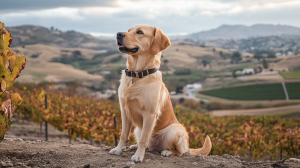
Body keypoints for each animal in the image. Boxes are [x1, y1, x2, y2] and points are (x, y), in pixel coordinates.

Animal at [109, 24, 211, 162]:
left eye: (139, 32)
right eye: (129, 30)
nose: (118, 34)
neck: (137, 75)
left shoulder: (150, 114)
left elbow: (144, 139)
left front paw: (139, 156)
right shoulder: (124, 112)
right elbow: (123, 135)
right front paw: (118, 150)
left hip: (173, 131)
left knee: (180, 151)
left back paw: (167, 152)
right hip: (137, 129)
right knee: (148, 144)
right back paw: (134, 146)